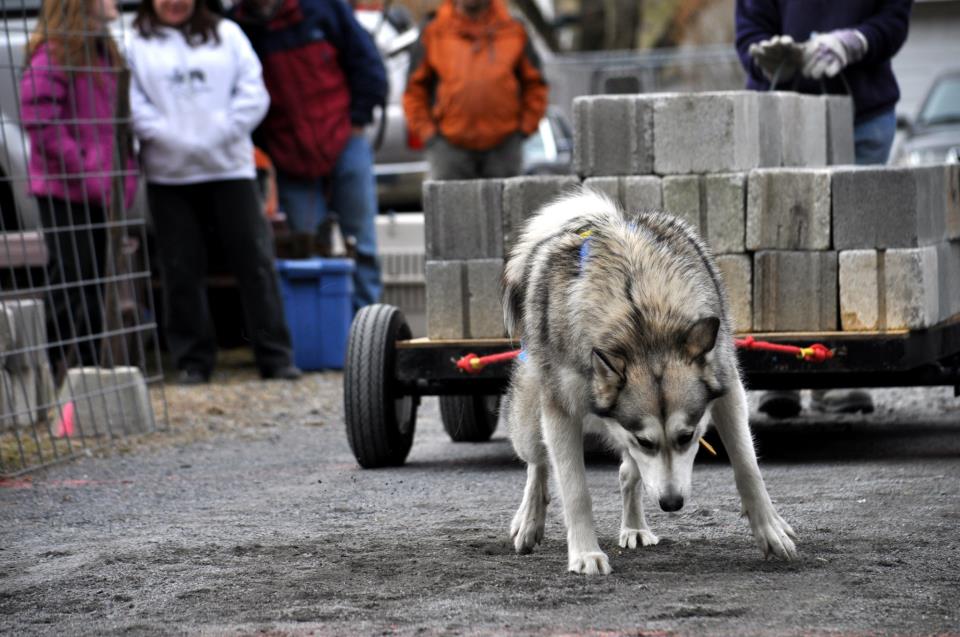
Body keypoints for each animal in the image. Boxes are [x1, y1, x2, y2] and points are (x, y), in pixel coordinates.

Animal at [498, 186, 800, 572]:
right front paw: (585, 553)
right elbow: (575, 490)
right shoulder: (562, 414)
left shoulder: (728, 389)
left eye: (687, 436)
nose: (672, 504)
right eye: (645, 441)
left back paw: (635, 527)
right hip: (529, 422)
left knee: (628, 474)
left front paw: (770, 530)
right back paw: (529, 520)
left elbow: (748, 467)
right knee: (537, 463)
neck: (641, 320)